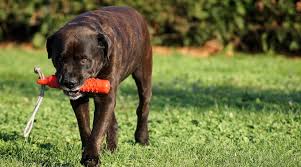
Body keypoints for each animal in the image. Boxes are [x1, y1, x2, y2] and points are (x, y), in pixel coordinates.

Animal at [45, 5, 151, 166]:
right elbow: (85, 126)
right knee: (112, 121)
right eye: (60, 59)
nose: (69, 82)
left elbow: (98, 128)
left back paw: (142, 138)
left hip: (143, 75)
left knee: (143, 107)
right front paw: (87, 151)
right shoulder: (81, 100)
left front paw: (91, 157)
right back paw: (112, 148)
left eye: (84, 59)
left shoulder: (105, 97)